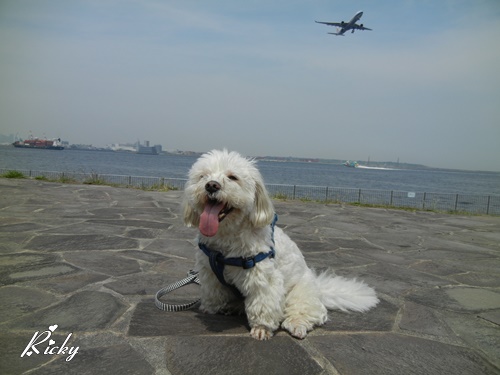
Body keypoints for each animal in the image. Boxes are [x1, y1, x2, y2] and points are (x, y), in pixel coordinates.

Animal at [184, 149, 378, 340]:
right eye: (203, 176)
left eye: (233, 177)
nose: (211, 185)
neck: (226, 239)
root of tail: (319, 287)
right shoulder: (209, 272)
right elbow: (213, 292)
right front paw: (211, 307)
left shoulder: (262, 276)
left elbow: (263, 304)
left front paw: (261, 328)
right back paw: (234, 307)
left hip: (301, 293)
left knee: (310, 312)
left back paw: (297, 324)